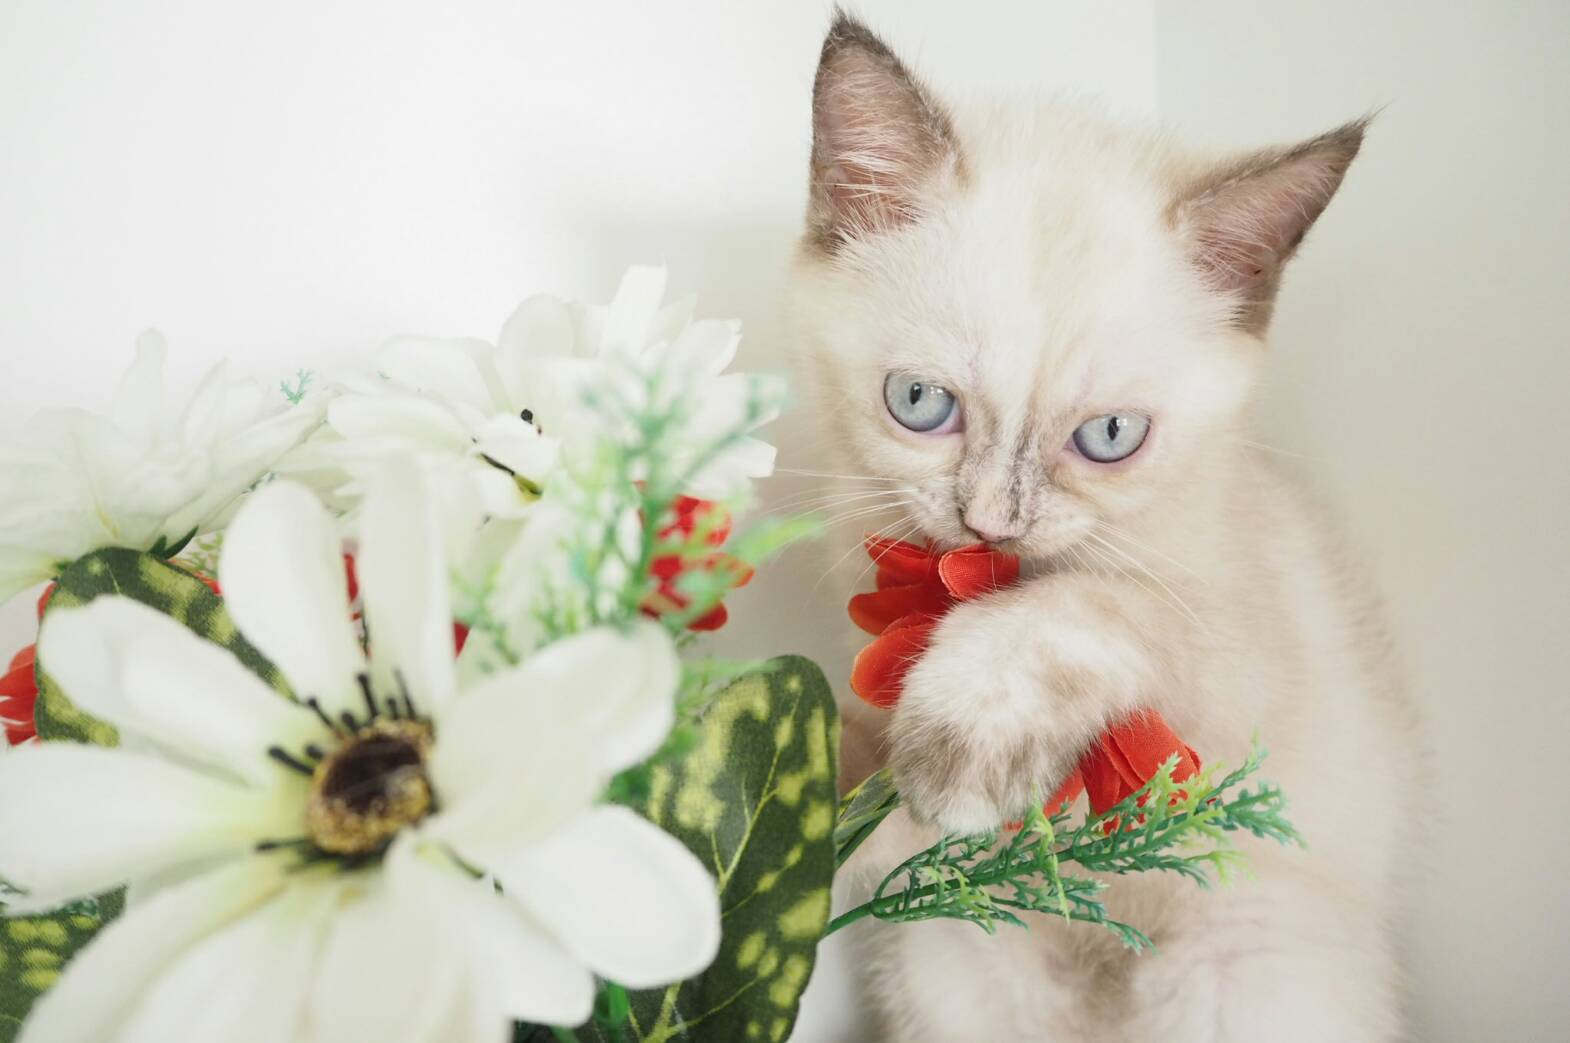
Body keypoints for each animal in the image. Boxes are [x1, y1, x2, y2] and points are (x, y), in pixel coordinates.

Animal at [785, 14, 1421, 1042]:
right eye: (919, 403)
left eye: (1110, 436)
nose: (991, 522)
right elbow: (866, 789)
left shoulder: (1233, 669)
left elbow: (1097, 599)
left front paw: (966, 724)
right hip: (957, 970)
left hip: (1240, 970)